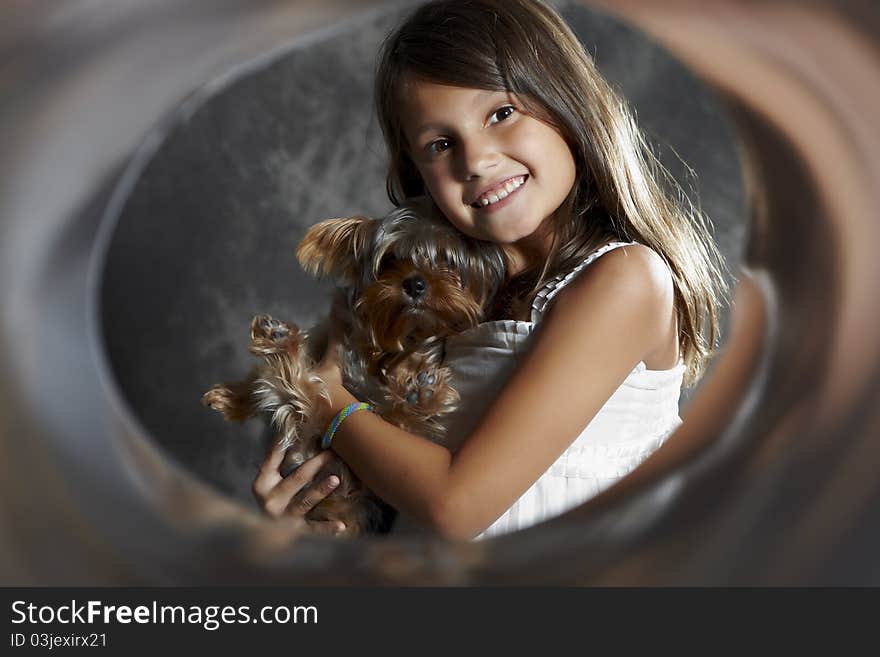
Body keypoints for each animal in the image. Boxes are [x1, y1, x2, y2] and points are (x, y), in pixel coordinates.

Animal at [203, 197, 506, 536]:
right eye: (390, 260)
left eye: (447, 262)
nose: (415, 283)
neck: (394, 340)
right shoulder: (326, 334)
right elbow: (264, 379)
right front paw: (234, 396)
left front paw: (417, 385)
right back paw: (276, 343)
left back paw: (420, 394)